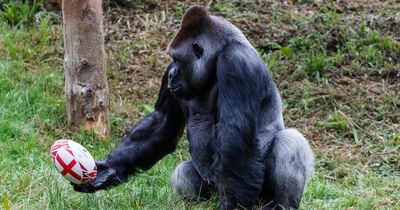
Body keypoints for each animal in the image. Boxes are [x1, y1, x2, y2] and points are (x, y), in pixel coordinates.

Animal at [73, 5, 314, 210]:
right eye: (172, 60)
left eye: (178, 60)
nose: (171, 74)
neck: (219, 52)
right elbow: (162, 123)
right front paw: (111, 169)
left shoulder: (237, 63)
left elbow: (234, 137)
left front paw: (233, 206)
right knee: (183, 173)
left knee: (290, 142)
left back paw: (279, 205)